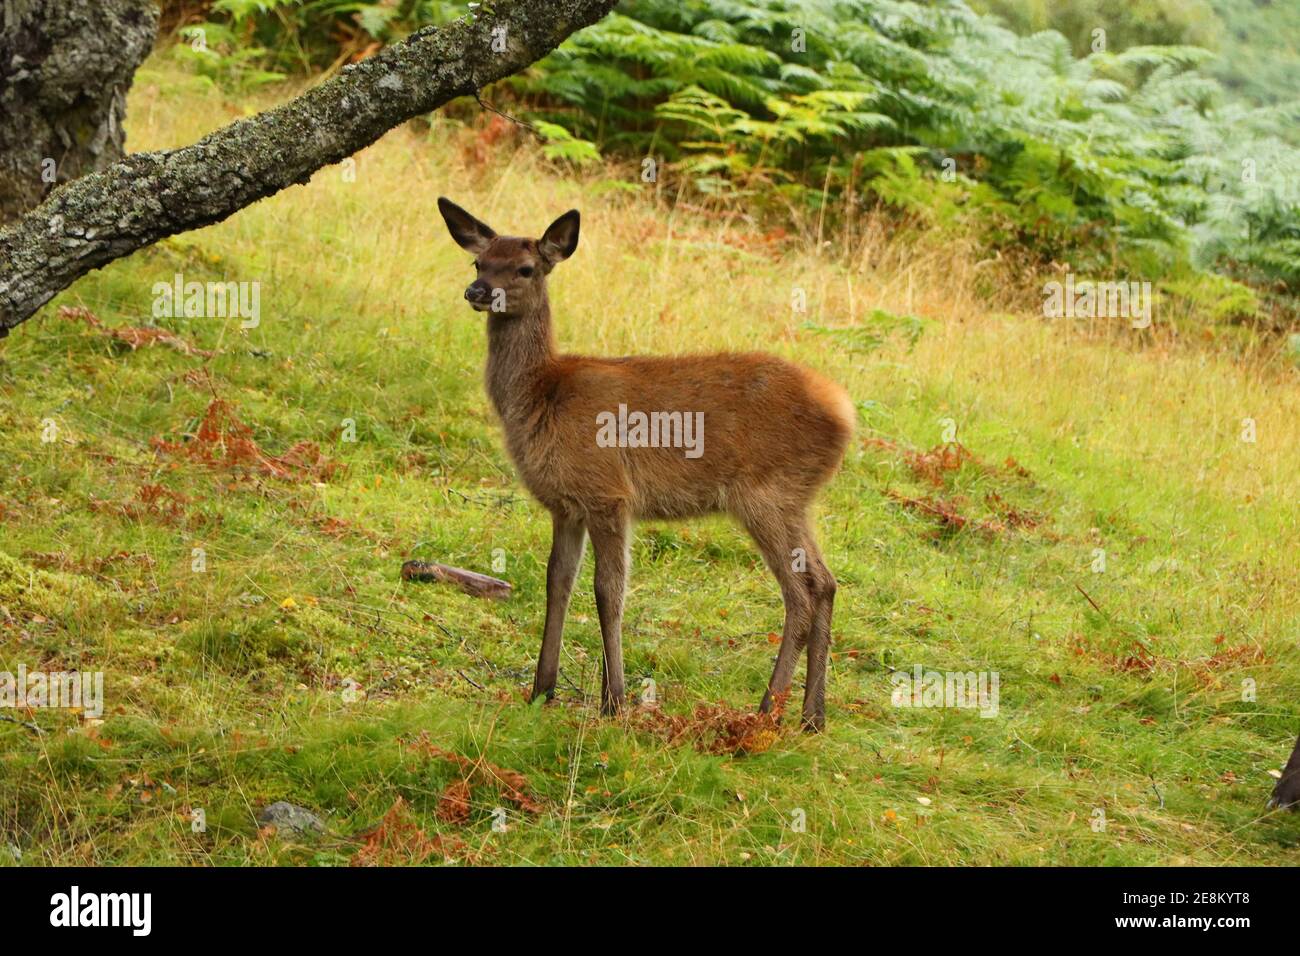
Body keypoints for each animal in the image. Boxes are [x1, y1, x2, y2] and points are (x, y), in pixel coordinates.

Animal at [437, 197, 854, 730]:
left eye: (525, 268)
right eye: (479, 261)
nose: (476, 291)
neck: (542, 394)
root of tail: (844, 413)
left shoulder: (608, 493)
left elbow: (608, 591)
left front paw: (613, 700)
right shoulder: (566, 506)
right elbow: (558, 583)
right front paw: (541, 689)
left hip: (766, 493)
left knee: (801, 591)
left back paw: (765, 710)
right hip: (795, 499)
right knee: (825, 582)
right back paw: (811, 716)